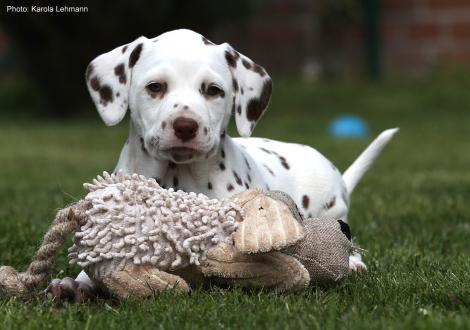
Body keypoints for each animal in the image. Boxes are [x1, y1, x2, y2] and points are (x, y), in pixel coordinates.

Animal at [46, 30, 398, 300]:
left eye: (213, 90)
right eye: (155, 87)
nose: (185, 126)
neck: (178, 175)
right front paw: (74, 285)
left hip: (333, 211)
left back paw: (351, 261)